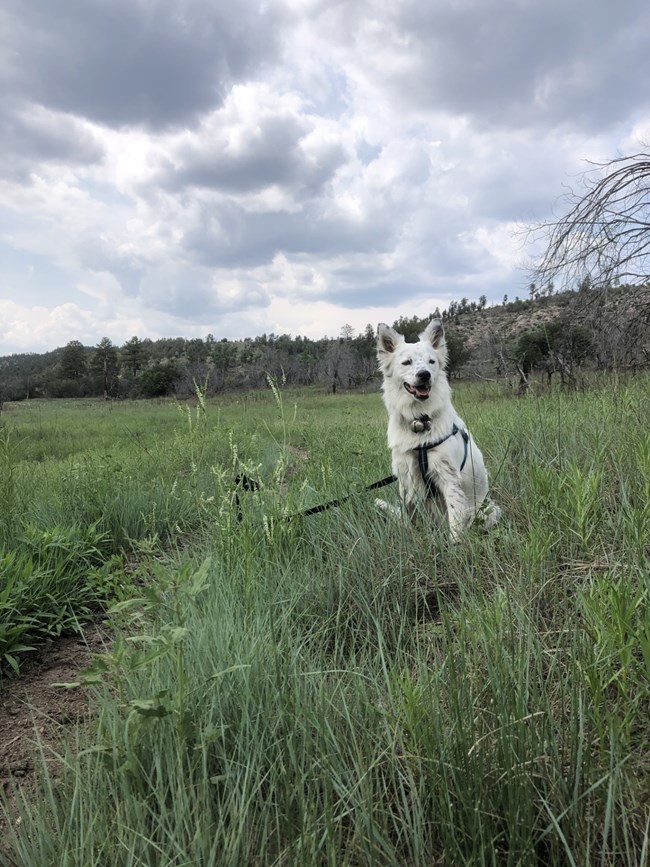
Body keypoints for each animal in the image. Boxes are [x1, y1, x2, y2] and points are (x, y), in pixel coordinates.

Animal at [372, 316, 498, 540]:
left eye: (432, 361)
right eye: (406, 362)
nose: (424, 375)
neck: (420, 422)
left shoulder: (449, 479)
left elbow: (455, 522)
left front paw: (455, 545)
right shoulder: (406, 477)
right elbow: (410, 517)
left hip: (490, 509)